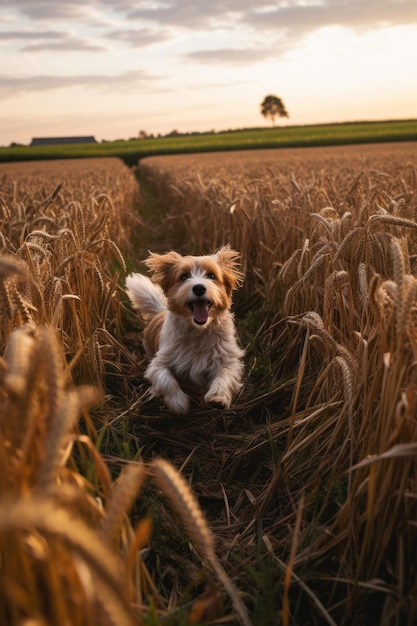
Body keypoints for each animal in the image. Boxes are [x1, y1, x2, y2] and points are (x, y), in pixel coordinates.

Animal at [126, 245, 244, 414]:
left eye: (211, 275)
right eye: (183, 277)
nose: (199, 288)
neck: (198, 331)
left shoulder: (229, 359)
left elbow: (225, 375)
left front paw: (218, 397)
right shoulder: (158, 363)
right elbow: (165, 380)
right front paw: (178, 402)